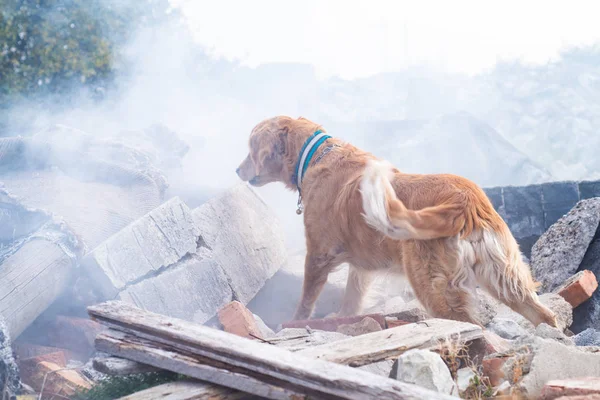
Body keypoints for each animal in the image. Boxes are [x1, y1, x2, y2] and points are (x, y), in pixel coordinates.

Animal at [236, 115, 556, 328]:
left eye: (251, 147)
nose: (237, 169)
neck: (315, 155)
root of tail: (464, 200)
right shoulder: (361, 267)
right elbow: (352, 296)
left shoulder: (318, 254)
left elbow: (306, 300)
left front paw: (294, 322)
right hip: (504, 275)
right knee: (543, 314)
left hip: (433, 285)